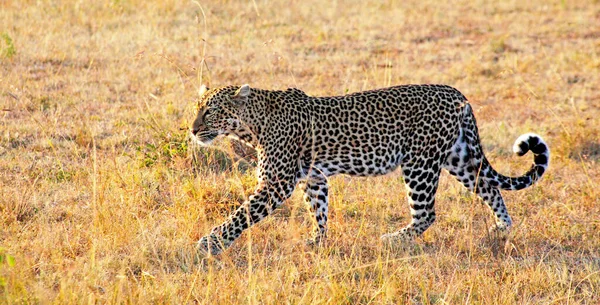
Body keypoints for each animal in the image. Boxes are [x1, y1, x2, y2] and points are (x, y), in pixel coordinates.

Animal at [191, 83, 548, 254]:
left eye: (210, 111)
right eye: (197, 108)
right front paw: (317, 242)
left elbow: (241, 215)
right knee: (490, 188)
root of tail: (457, 94)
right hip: (458, 157)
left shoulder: (276, 182)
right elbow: (318, 211)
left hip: (420, 163)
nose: (192, 130)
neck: (252, 124)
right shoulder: (314, 178)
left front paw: (210, 244)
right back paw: (501, 229)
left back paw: (393, 240)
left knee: (427, 213)